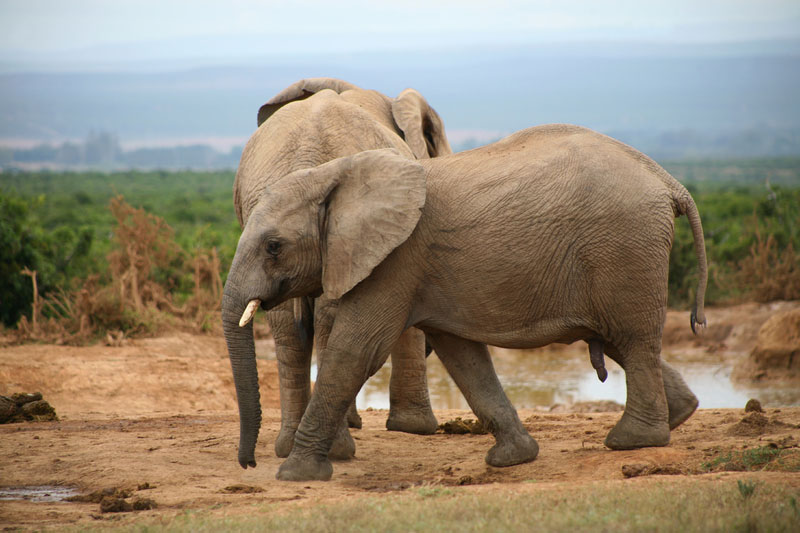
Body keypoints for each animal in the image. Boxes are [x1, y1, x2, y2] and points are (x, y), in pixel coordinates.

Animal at [225, 77, 454, 464]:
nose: (249, 463)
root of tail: (305, 158)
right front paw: (415, 429)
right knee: (317, 320)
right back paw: (337, 450)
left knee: (290, 326)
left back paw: (292, 447)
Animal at [225, 122, 708, 480]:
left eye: (273, 247)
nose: (247, 463)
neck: (335, 174)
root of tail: (669, 181)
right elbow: (462, 356)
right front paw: (513, 458)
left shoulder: (397, 260)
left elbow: (356, 350)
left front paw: (295, 474)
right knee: (617, 337)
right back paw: (679, 415)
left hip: (625, 246)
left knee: (632, 339)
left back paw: (633, 442)